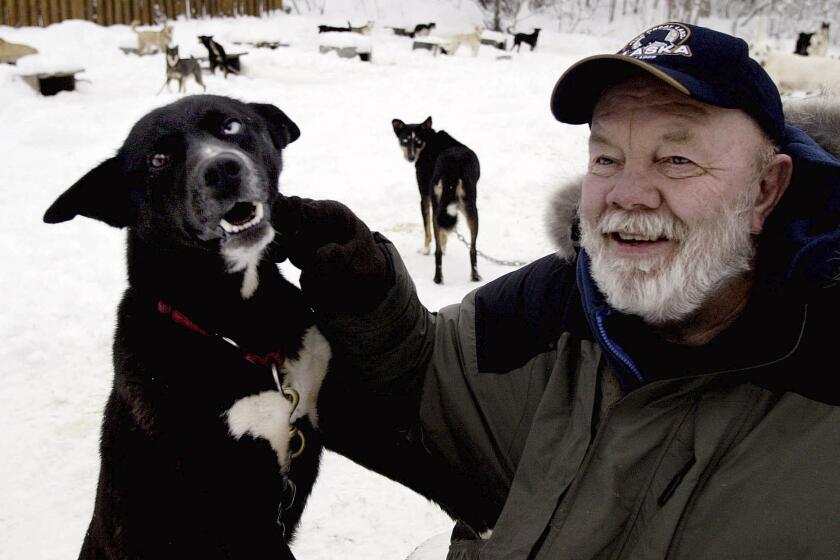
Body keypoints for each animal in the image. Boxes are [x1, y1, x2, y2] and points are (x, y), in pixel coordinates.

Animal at [392, 117, 480, 284]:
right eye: (405, 140)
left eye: (418, 141)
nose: (410, 157)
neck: (429, 141)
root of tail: (453, 165)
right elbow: (443, 233)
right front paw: (445, 245)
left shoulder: (425, 197)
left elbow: (427, 230)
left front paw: (425, 249)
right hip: (470, 209)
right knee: (472, 249)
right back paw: (474, 277)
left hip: (439, 206)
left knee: (437, 251)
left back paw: (437, 278)